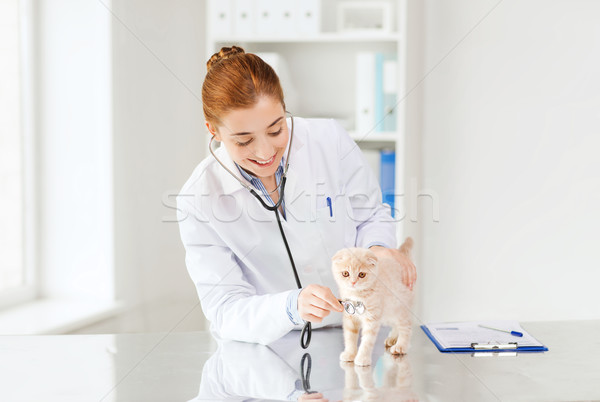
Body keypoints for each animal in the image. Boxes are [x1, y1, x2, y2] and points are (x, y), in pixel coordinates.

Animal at [330, 239, 414, 368]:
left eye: (361, 274)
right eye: (345, 273)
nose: (353, 282)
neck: (357, 294)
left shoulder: (372, 319)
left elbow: (367, 341)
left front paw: (362, 358)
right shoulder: (350, 317)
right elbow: (349, 336)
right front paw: (350, 353)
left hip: (400, 308)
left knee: (406, 327)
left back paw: (400, 346)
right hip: (389, 312)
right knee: (396, 324)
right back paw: (392, 339)